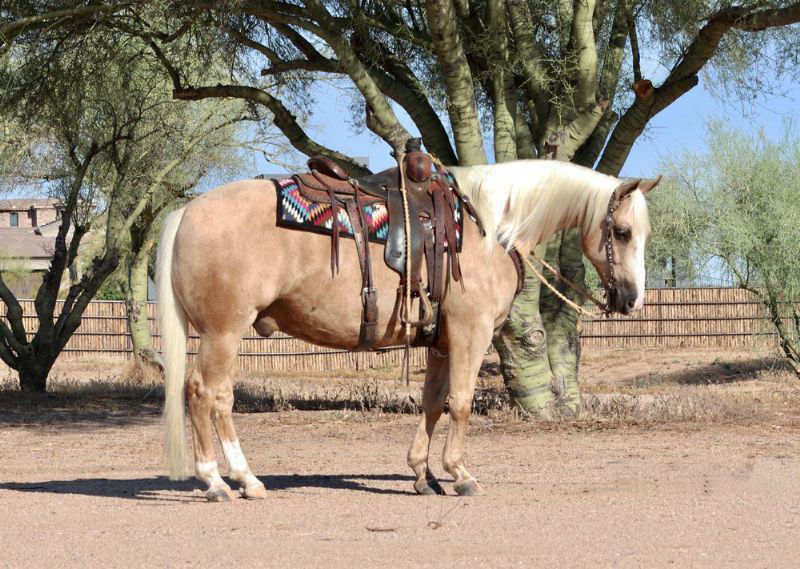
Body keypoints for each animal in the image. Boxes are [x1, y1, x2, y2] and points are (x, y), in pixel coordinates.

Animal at [156, 158, 658, 501]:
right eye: (622, 232)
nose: (632, 299)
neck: (489, 229)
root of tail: (187, 212)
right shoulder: (471, 333)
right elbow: (461, 402)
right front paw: (460, 474)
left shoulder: (441, 341)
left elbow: (433, 402)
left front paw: (423, 473)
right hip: (223, 333)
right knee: (207, 394)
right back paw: (223, 481)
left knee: (214, 397)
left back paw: (237, 479)